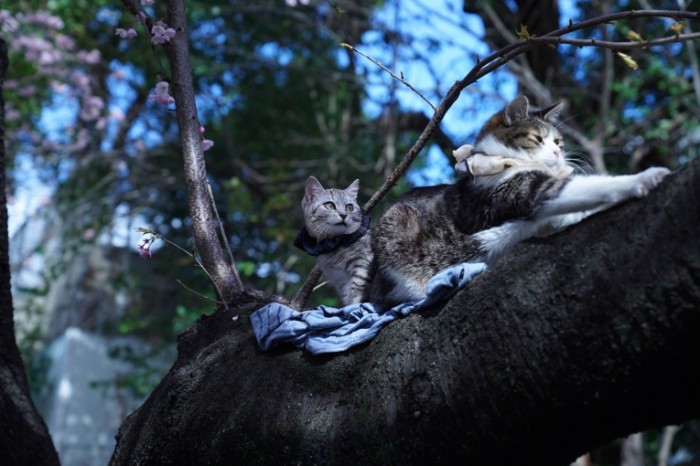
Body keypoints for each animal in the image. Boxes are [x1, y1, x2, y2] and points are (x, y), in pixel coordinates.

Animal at [370, 94, 668, 306]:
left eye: (558, 142)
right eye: (537, 138)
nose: (557, 153)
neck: (508, 163)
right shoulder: (529, 192)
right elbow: (591, 187)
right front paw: (645, 177)